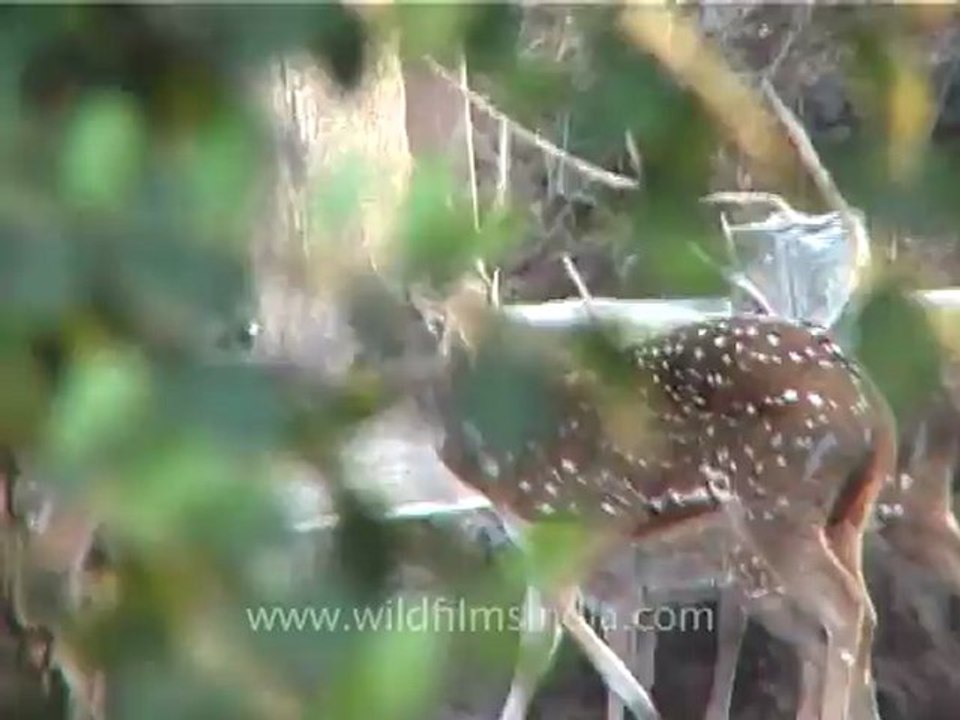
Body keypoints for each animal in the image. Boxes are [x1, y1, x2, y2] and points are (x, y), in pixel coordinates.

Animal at [421, 279, 896, 720]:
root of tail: (875, 409)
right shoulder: (543, 541)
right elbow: (536, 645)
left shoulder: (602, 512)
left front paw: (641, 700)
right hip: (844, 514)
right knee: (864, 615)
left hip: (776, 504)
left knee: (843, 609)